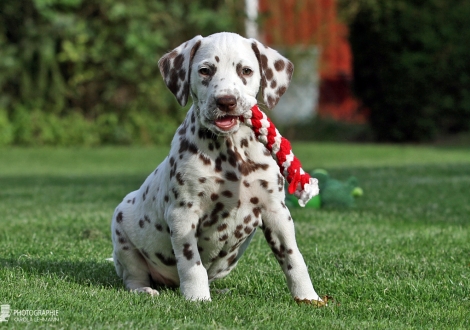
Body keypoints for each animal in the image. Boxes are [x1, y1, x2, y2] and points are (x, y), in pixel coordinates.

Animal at [110, 32, 324, 302]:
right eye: (205, 70)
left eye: (246, 70)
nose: (226, 101)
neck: (231, 152)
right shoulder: (183, 213)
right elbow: (192, 264)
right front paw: (197, 298)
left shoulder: (277, 212)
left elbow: (293, 258)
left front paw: (308, 296)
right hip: (121, 234)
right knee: (133, 275)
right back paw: (145, 289)